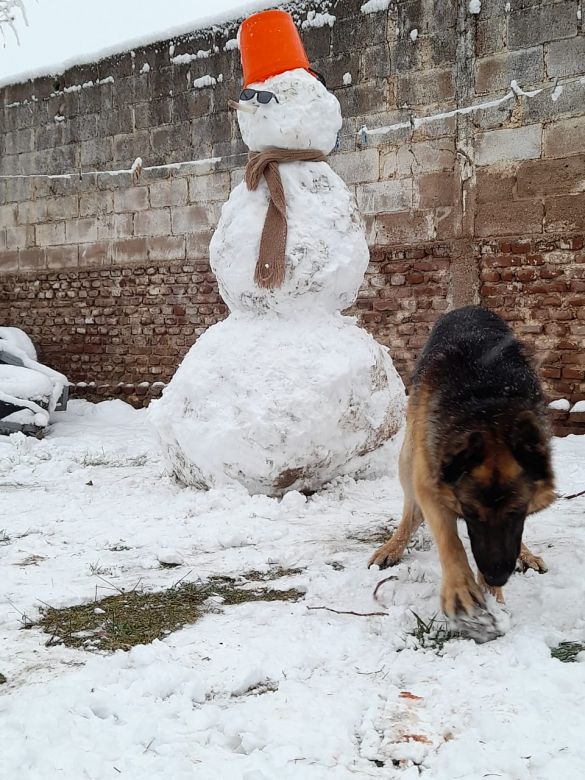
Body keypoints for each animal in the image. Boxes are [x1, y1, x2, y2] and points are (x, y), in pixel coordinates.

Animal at [368, 308, 556, 620]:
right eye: (471, 513)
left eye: (516, 513)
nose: (496, 577)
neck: (489, 405)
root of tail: (468, 308)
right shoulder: (430, 481)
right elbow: (450, 541)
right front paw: (462, 588)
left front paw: (494, 599)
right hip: (408, 454)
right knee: (413, 513)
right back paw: (393, 547)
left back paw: (525, 555)